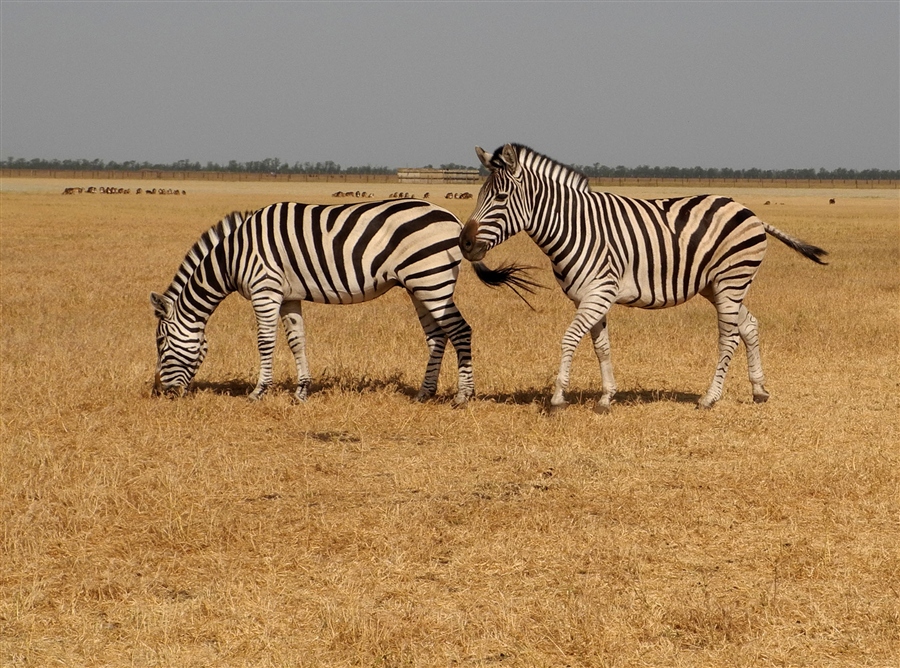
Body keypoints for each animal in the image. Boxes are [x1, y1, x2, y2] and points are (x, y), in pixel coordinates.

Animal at [151, 198, 536, 404]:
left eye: (162, 344)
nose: (162, 393)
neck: (234, 256)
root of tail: (455, 220)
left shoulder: (265, 290)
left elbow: (265, 342)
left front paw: (259, 391)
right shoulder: (289, 297)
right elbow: (296, 340)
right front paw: (301, 391)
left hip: (431, 279)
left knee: (461, 331)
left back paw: (463, 395)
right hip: (420, 285)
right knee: (437, 336)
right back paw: (424, 393)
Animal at [460, 144, 828, 410]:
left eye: (501, 198)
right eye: (478, 196)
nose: (464, 243)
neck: (574, 227)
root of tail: (750, 213)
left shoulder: (599, 292)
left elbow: (569, 338)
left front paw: (558, 397)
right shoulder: (590, 297)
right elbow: (601, 347)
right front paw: (606, 397)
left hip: (731, 280)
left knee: (729, 336)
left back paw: (710, 398)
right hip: (716, 286)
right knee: (749, 325)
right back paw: (759, 390)